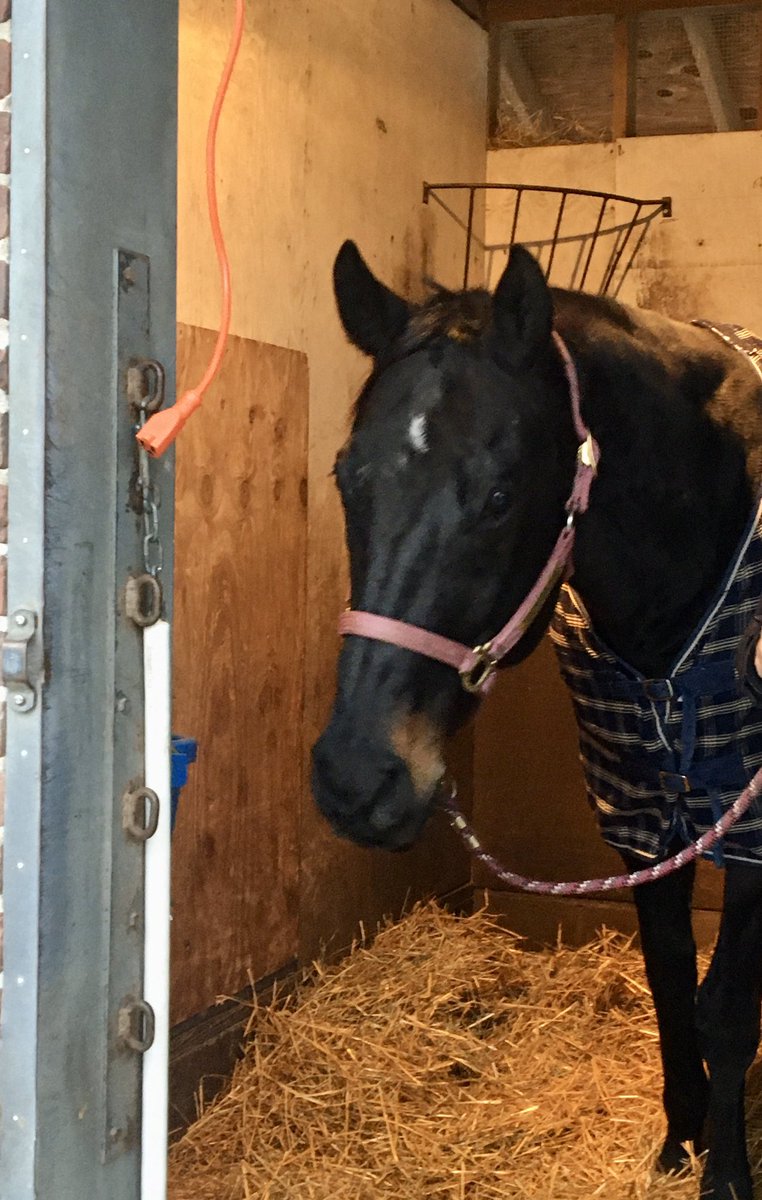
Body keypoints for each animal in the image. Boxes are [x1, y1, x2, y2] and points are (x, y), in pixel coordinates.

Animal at [311, 238, 762, 1199]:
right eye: (345, 477)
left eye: (498, 496)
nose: (357, 778)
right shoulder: (643, 815)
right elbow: (670, 977)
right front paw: (679, 1142)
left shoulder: (749, 823)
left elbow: (726, 1008)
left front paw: (726, 1174)